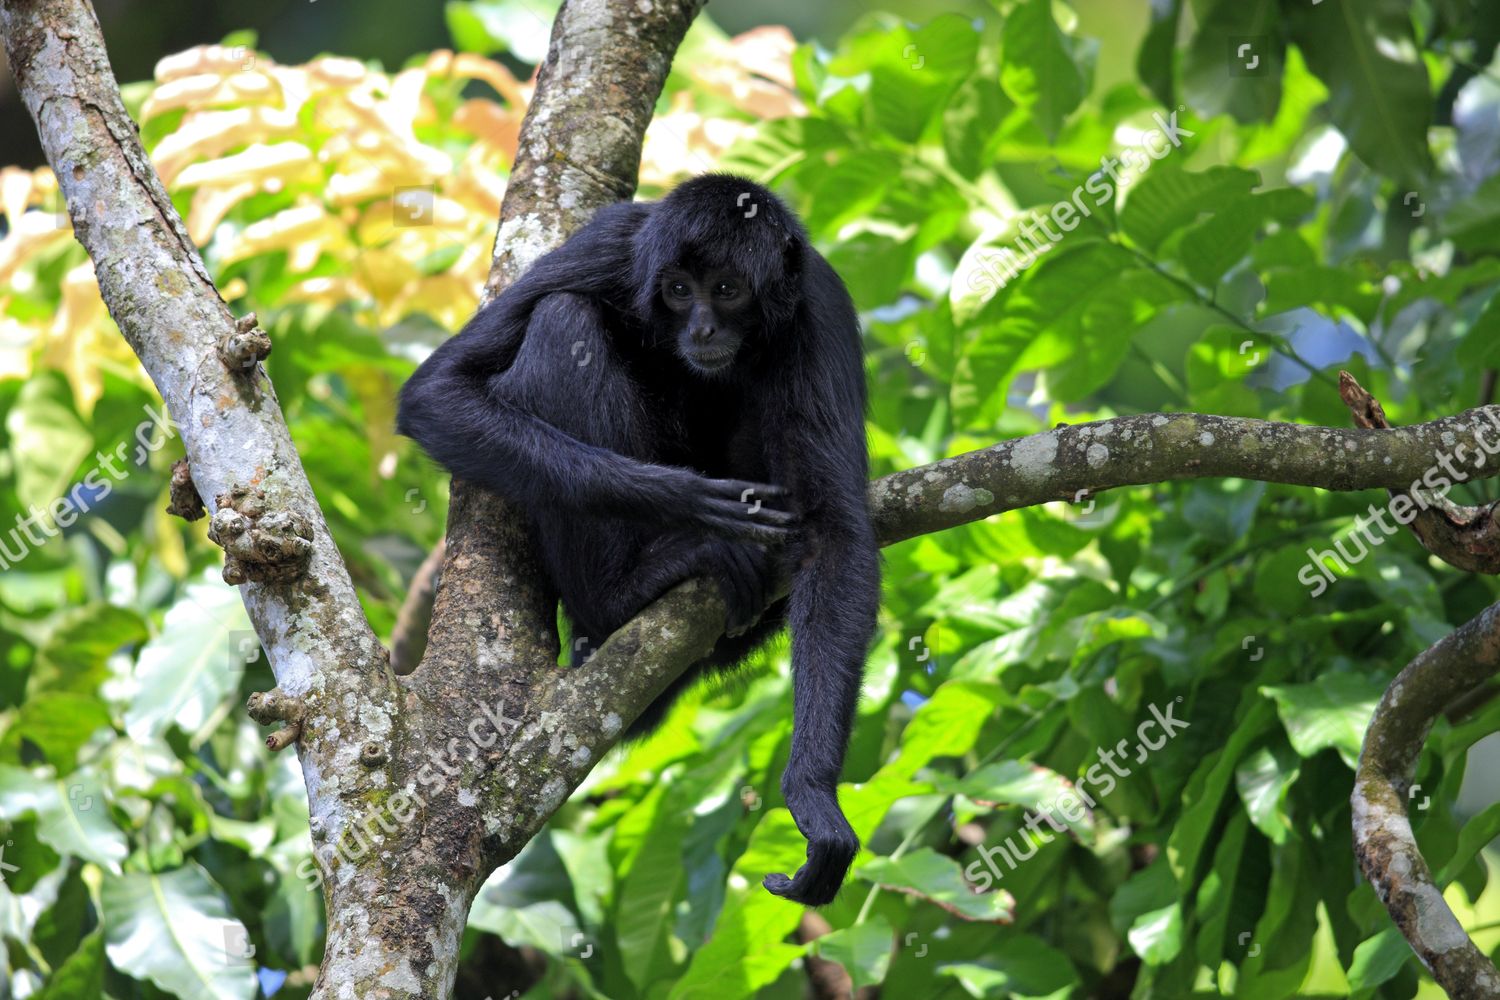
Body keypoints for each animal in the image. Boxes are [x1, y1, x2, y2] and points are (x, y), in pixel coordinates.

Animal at [402, 172, 876, 905]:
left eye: (727, 289)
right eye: (678, 291)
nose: (702, 326)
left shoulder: (817, 308)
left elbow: (835, 532)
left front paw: (813, 797)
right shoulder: (610, 246)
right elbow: (438, 392)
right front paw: (688, 502)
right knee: (563, 317)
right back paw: (633, 587)